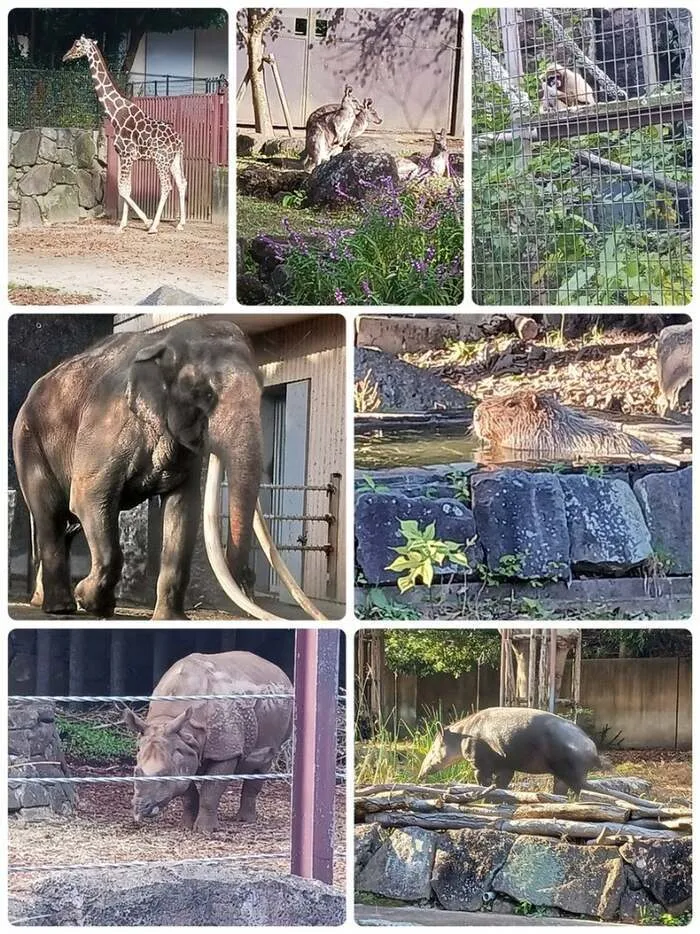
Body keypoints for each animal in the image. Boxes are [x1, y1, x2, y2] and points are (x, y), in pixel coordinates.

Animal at [11, 316, 322, 620]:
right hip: (28, 442)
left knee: (67, 524)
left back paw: (45, 600)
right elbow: (89, 497)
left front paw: (169, 619)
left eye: (261, 390)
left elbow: (184, 509)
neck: (163, 340)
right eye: (205, 395)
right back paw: (61, 608)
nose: (248, 579)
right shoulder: (105, 428)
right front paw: (88, 600)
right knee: (52, 513)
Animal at [63, 36, 186, 234]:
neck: (115, 114)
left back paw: (154, 226)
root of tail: (179, 141)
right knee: (182, 183)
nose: (65, 56)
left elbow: (122, 189)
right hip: (174, 159)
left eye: (77, 45)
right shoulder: (125, 156)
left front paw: (144, 222)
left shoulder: (128, 155)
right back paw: (181, 223)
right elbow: (126, 188)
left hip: (161, 159)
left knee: (167, 186)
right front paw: (122, 225)